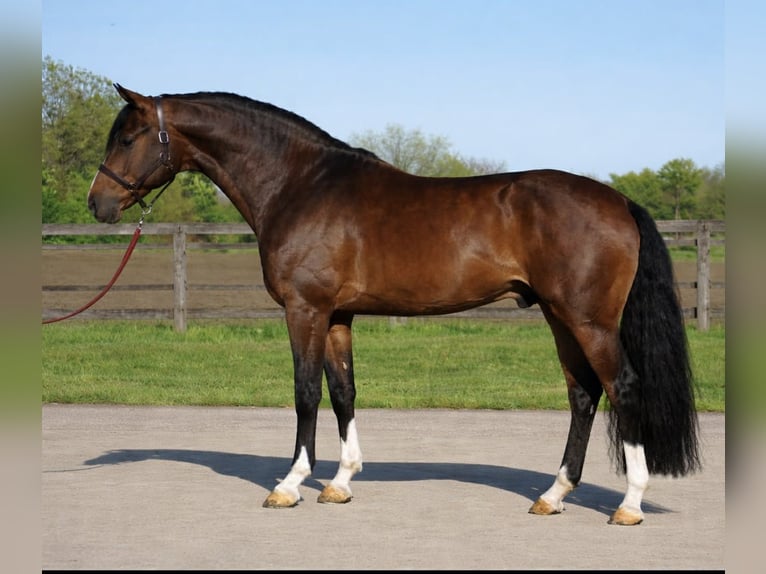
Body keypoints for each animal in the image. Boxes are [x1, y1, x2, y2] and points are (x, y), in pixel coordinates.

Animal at [87, 84, 700, 525]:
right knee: (583, 395)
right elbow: (343, 392)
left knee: (622, 387)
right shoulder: (337, 316)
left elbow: (305, 392)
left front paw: (289, 485)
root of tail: (618, 200)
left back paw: (629, 504)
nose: (98, 204)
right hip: (559, 317)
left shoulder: (305, 310)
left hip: (588, 319)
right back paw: (553, 495)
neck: (299, 184)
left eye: (129, 137)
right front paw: (339, 483)